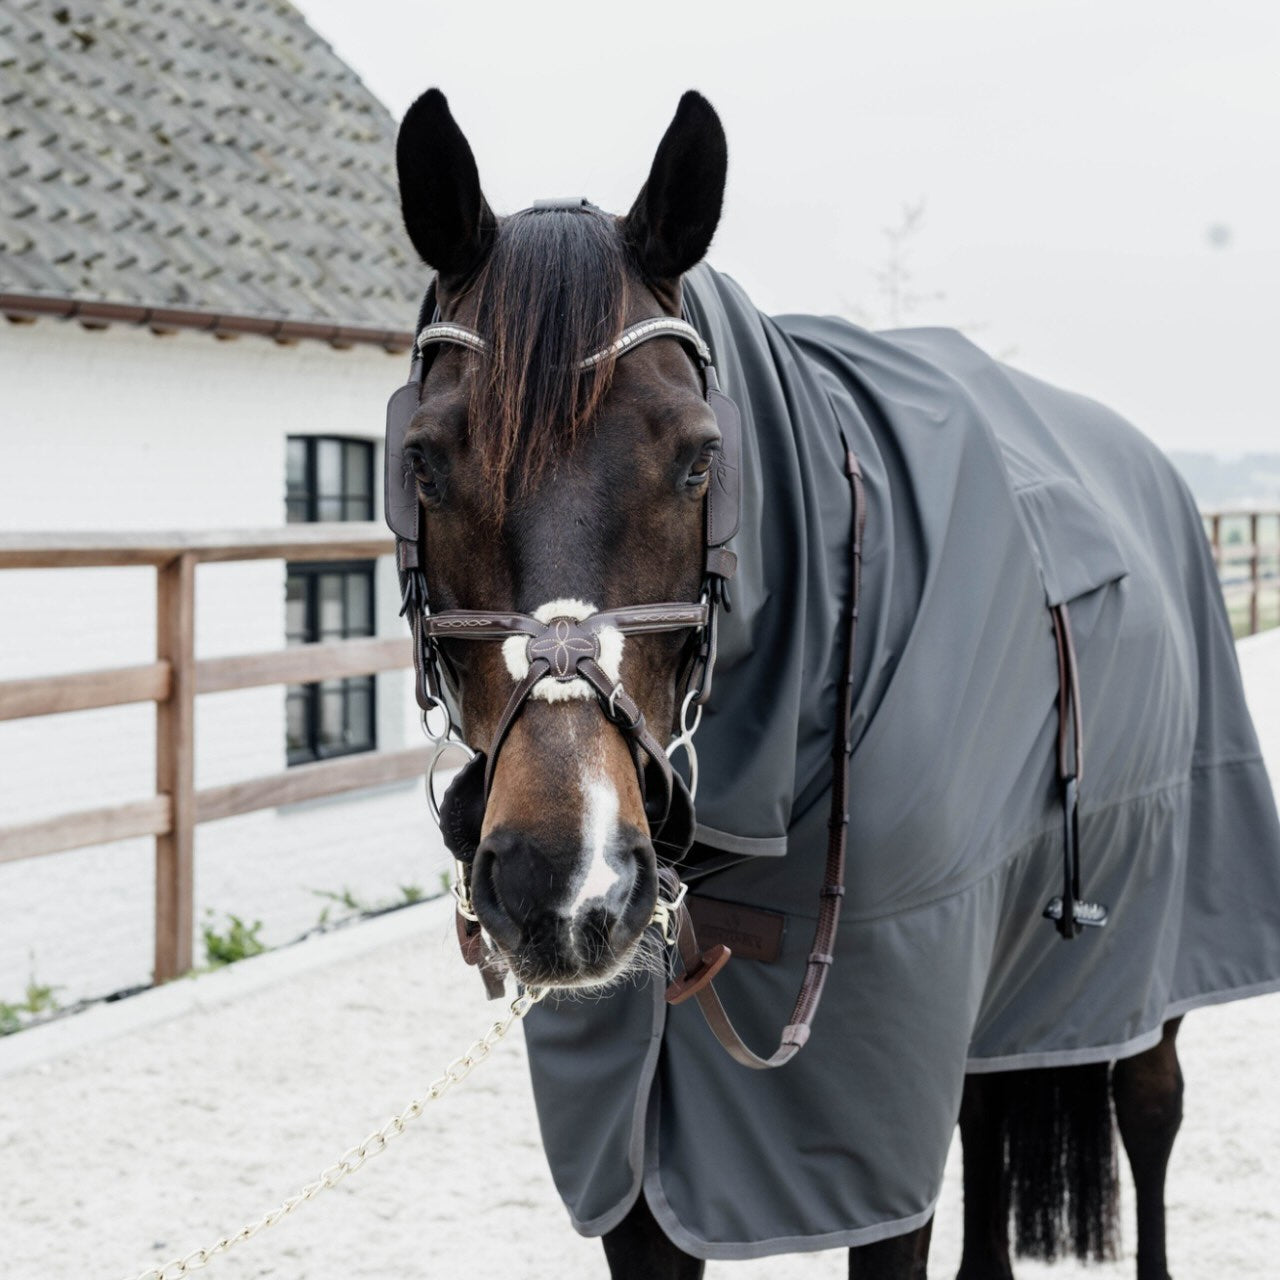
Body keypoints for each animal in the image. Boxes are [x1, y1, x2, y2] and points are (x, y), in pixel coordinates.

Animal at [387, 88, 1280, 1280]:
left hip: (1149, 941)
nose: (563, 883)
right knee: (985, 1118)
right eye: (424, 460)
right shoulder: (630, 1153)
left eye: (700, 459)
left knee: (1149, 1106)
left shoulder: (870, 1110)